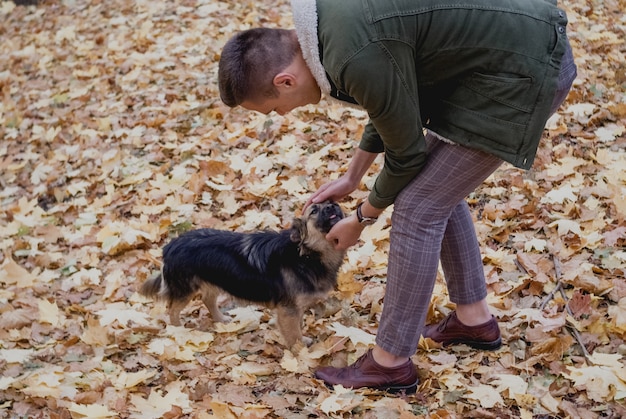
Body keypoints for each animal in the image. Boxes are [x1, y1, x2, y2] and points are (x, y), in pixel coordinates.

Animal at [138, 202, 346, 346]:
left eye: (332, 202)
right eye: (314, 211)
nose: (332, 205)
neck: (305, 254)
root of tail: (169, 247)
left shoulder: (296, 308)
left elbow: (298, 328)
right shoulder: (289, 310)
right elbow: (293, 334)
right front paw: (301, 354)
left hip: (215, 280)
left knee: (207, 299)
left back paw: (221, 320)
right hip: (185, 290)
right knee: (172, 310)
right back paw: (178, 332)